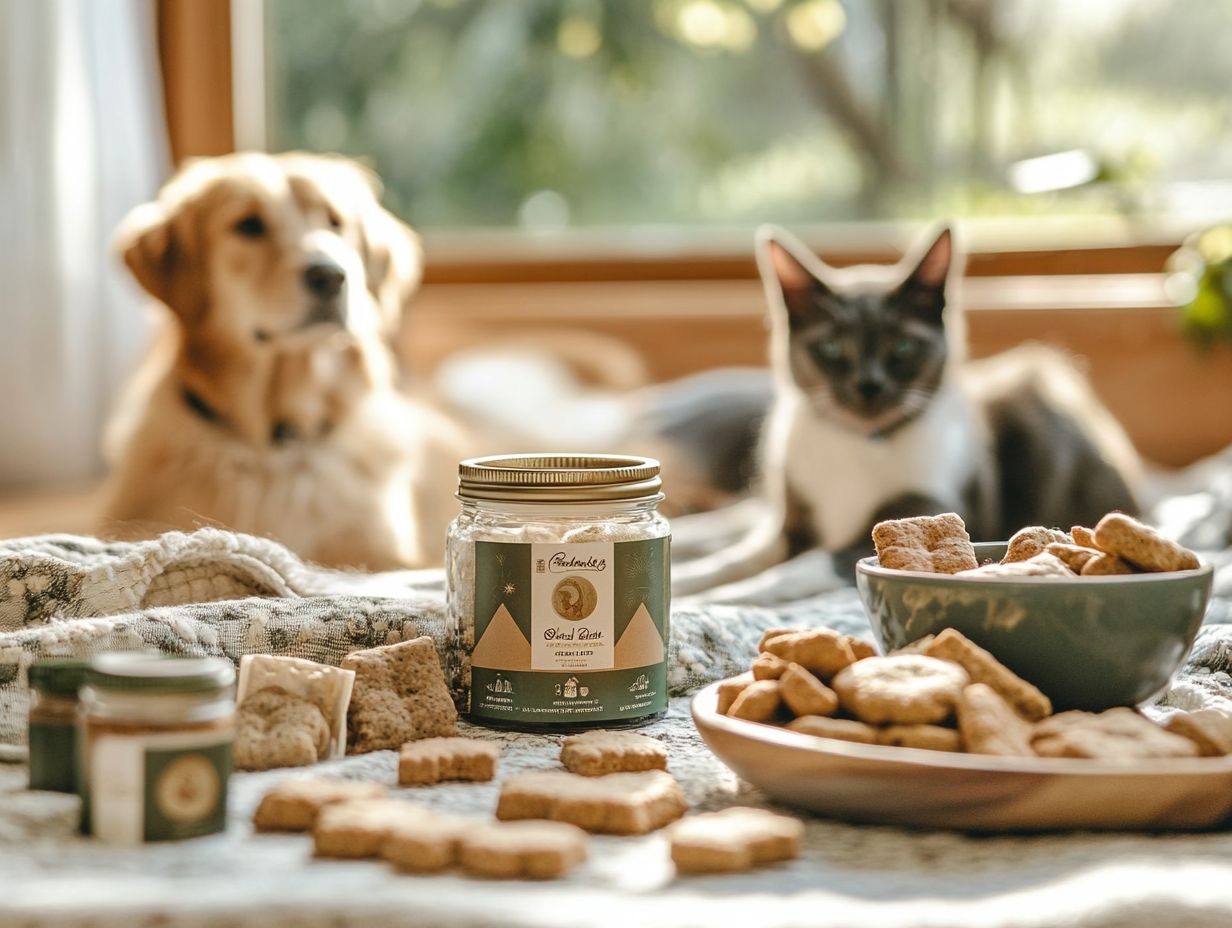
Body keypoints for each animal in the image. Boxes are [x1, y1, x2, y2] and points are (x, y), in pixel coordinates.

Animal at [675, 227, 1143, 596]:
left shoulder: (920, 509)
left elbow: (801, 566)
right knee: (736, 523)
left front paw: (728, 597)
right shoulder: (791, 522)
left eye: (902, 348)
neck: (859, 440)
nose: (868, 387)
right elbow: (739, 557)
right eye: (830, 348)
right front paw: (689, 580)